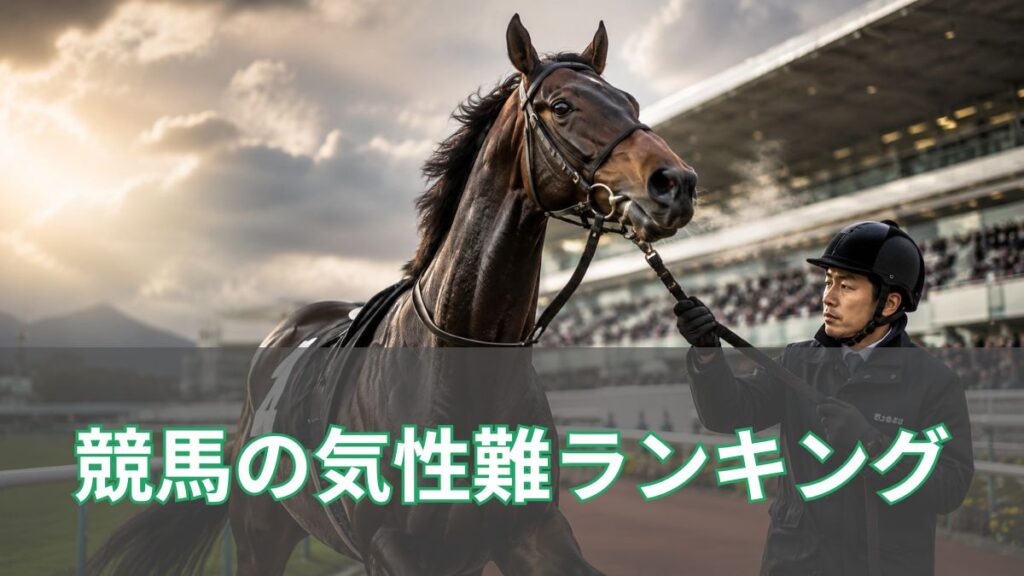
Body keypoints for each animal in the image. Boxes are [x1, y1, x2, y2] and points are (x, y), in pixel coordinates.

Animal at [87, 14, 697, 576]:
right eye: (563, 105)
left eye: (629, 100)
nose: (677, 183)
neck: (460, 356)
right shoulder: (392, 546)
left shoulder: (527, 533)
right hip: (261, 535)